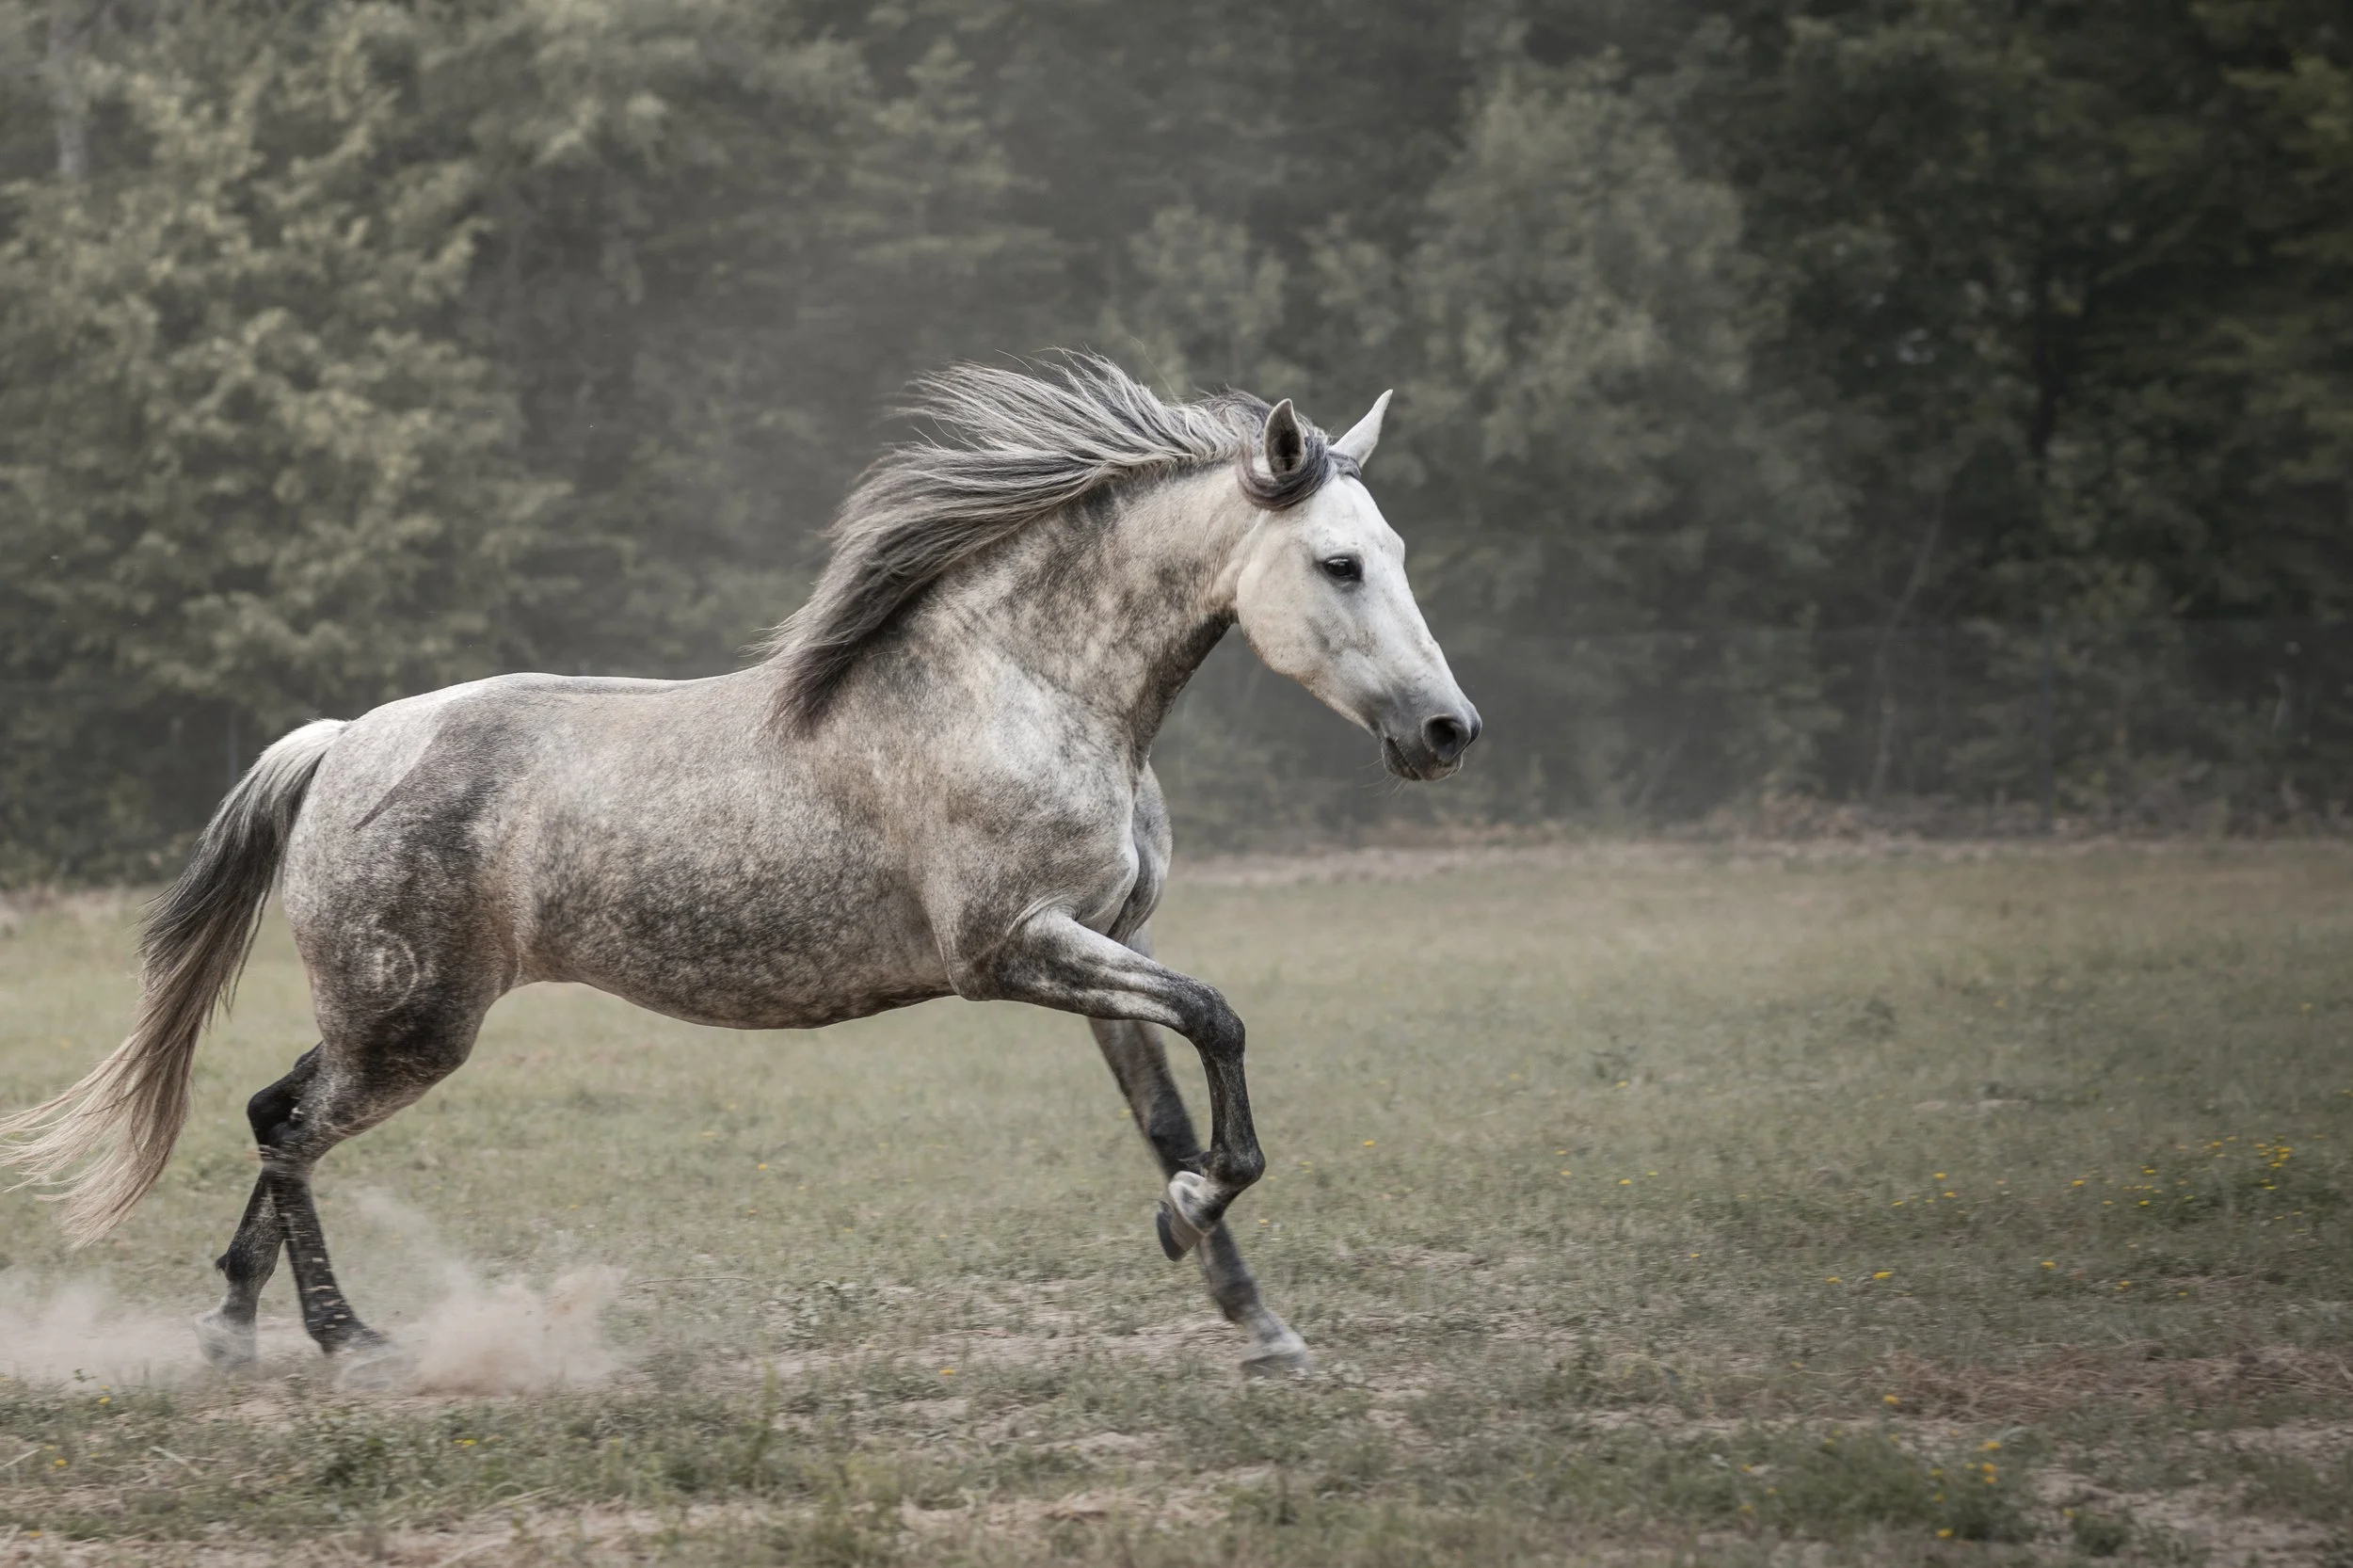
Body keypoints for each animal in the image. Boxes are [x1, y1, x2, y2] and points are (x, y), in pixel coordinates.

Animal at [0, 355, 1480, 1379]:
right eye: (1339, 564)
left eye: (1398, 552)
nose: (1447, 732)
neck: (1024, 688)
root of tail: (341, 744)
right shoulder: (1016, 950)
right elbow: (1223, 1024)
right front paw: (1193, 1229)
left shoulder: (1104, 948)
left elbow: (1171, 1115)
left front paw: (1253, 1313)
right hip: (415, 1030)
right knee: (294, 1132)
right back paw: (348, 1339)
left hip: (382, 1018)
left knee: (270, 1112)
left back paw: (230, 1327)